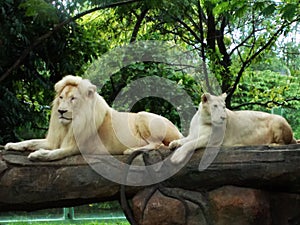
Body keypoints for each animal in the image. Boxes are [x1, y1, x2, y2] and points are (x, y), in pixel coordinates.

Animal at [4, 75, 182, 162]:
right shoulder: (55, 140)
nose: (61, 111)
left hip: (143, 116)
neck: (69, 125)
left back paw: (131, 150)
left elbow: (56, 153)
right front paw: (12, 145)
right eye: (61, 97)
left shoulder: (77, 147)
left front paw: (38, 155)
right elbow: (31, 141)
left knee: (157, 144)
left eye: (73, 99)